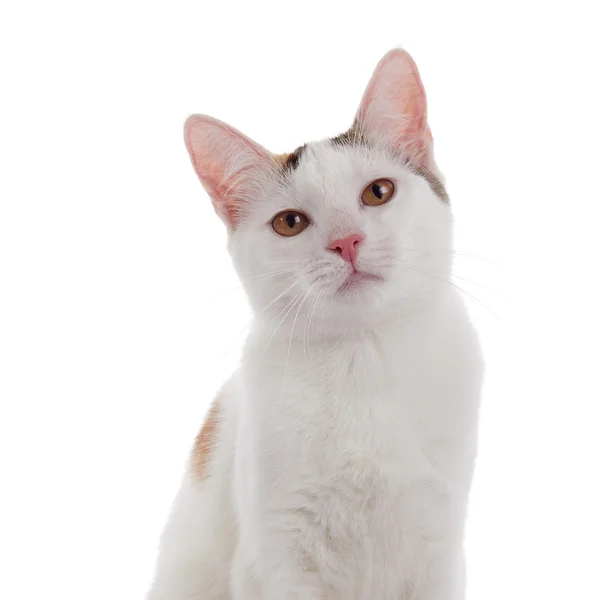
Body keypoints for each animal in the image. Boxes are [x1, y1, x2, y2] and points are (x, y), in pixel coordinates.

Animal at [148, 50, 486, 600]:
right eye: (291, 223)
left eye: (379, 192)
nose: (346, 242)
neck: (361, 358)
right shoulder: (276, 558)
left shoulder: (439, 547)